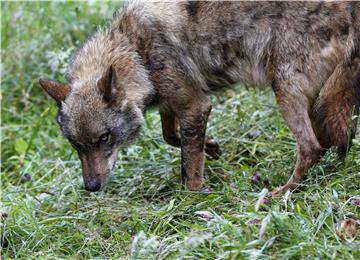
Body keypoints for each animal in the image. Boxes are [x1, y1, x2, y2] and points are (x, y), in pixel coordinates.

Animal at [39, 1, 358, 193]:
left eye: (104, 138)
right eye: (75, 145)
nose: (91, 187)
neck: (136, 51)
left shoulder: (195, 106)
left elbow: (188, 166)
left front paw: (193, 198)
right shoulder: (172, 104)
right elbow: (172, 137)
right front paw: (212, 147)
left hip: (284, 90)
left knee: (311, 147)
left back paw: (281, 194)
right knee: (330, 140)